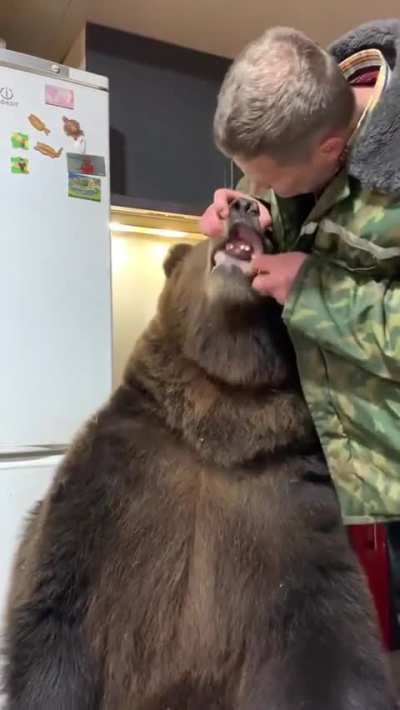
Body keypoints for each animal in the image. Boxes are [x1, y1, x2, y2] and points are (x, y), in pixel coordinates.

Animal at [2, 197, 397, 709]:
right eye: (218, 222)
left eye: (272, 235)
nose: (244, 205)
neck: (220, 416)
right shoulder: (116, 478)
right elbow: (59, 607)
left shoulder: (291, 510)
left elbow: (332, 647)